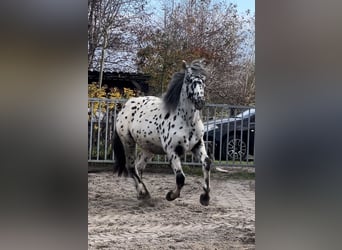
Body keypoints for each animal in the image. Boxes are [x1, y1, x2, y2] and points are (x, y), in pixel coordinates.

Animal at [113, 59, 212, 206]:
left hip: (149, 148)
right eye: (188, 79)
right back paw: (143, 193)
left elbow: (206, 163)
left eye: (204, 79)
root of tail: (126, 105)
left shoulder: (197, 145)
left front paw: (205, 197)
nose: (200, 102)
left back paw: (142, 193)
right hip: (128, 142)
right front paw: (171, 195)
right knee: (131, 167)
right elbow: (180, 177)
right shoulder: (172, 151)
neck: (187, 121)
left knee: (138, 167)